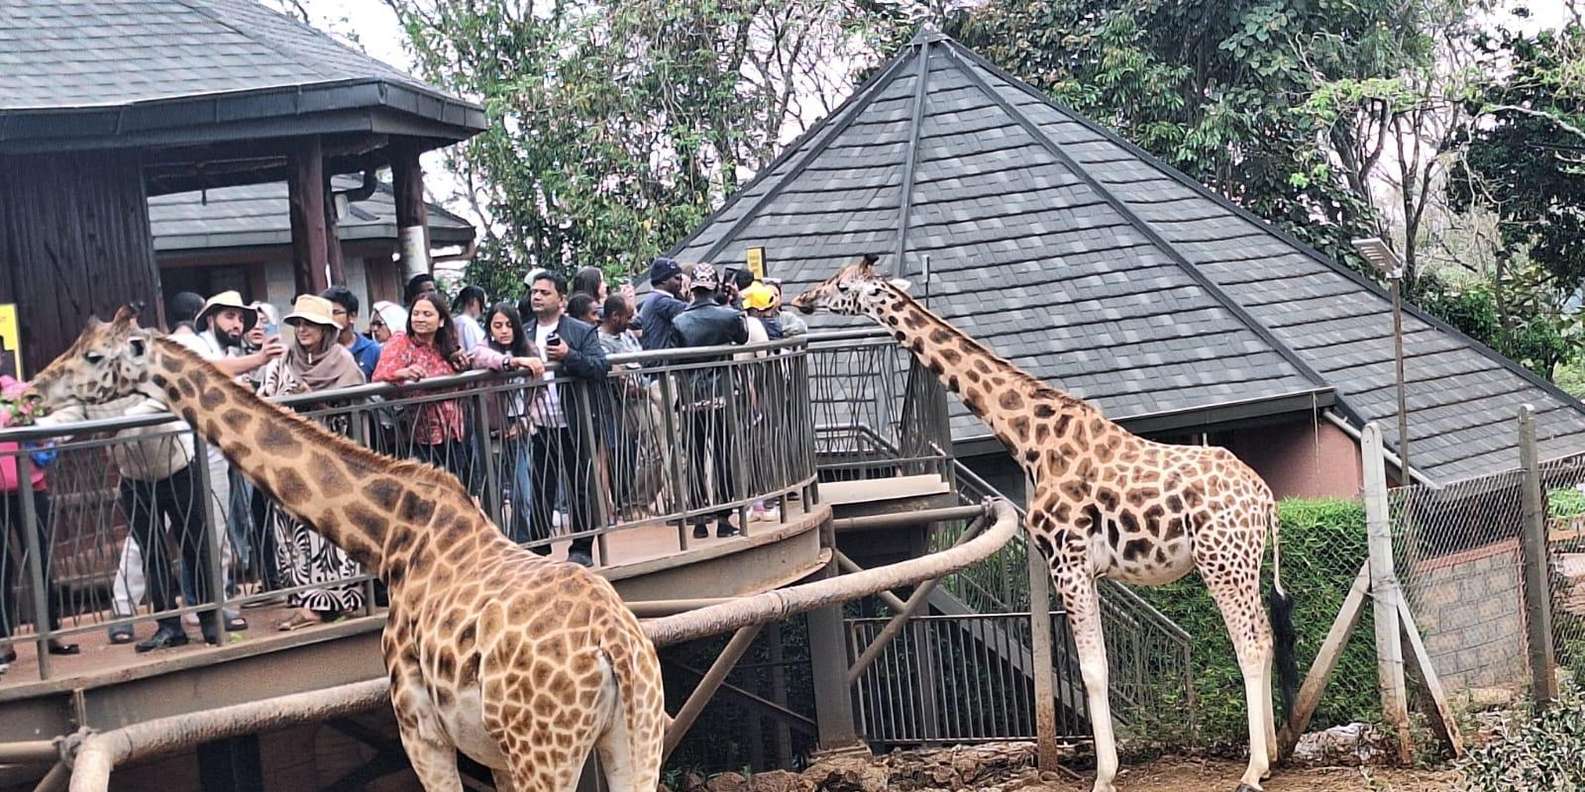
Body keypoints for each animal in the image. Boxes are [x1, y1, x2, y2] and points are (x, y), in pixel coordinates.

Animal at [27, 308, 668, 792]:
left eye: (92, 356)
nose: (31, 393)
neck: (391, 538)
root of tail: (617, 647)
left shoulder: (419, 728)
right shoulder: (491, 752)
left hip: (548, 749)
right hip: (636, 733)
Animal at [792, 256, 1297, 792]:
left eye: (842, 285)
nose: (803, 299)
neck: (1031, 440)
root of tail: (1264, 498)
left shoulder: (1066, 559)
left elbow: (1092, 670)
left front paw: (1104, 776)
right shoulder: (1085, 569)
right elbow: (1095, 666)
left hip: (1220, 561)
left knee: (1251, 643)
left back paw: (1252, 770)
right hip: (1245, 563)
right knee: (1266, 635)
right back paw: (1271, 755)